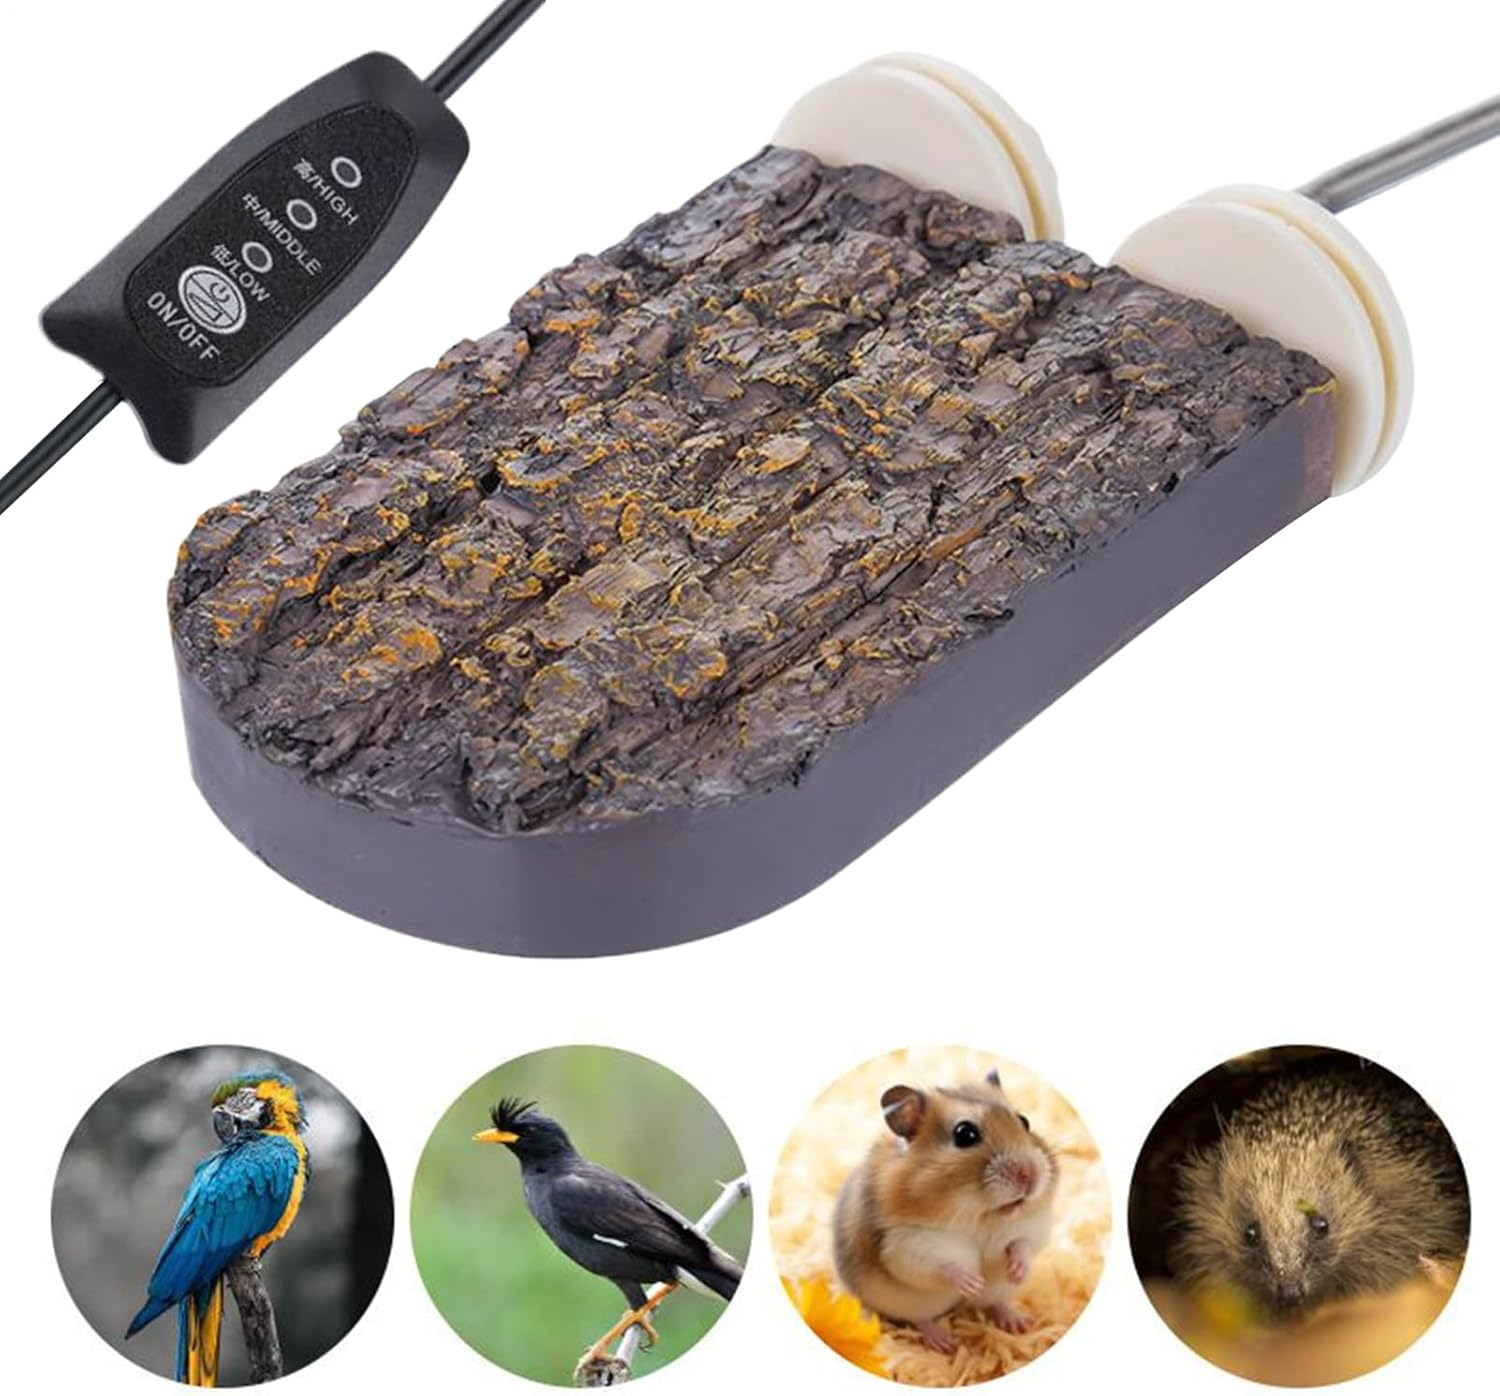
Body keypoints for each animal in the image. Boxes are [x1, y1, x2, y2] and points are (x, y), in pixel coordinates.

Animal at [834, 1069, 1058, 1352]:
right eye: (965, 1134)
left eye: (1024, 1121)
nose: (1029, 1175)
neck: (980, 1216)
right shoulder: (908, 1243)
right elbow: (941, 1266)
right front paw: (972, 1282)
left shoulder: (1032, 1224)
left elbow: (1023, 1244)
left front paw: (1018, 1273)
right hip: (908, 1303)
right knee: (920, 1319)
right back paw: (944, 1342)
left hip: (998, 1290)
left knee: (995, 1301)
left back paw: (1018, 1322)